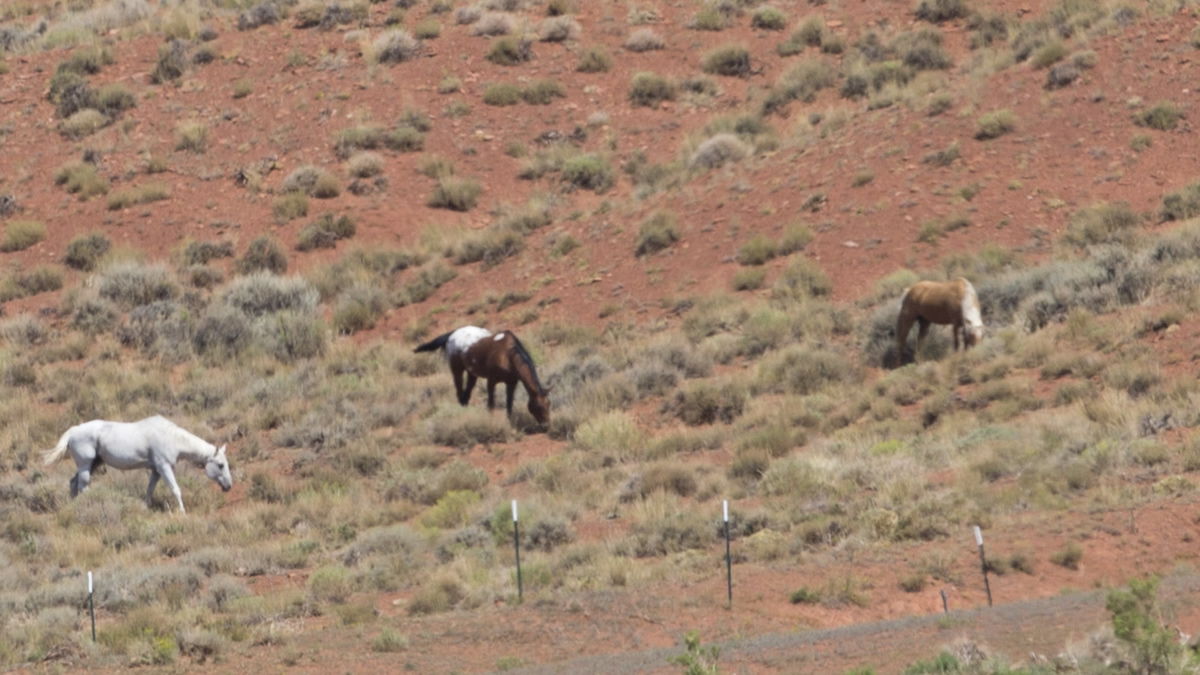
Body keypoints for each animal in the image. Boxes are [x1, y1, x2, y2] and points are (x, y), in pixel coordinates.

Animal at [42, 413, 231, 511]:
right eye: (220, 465)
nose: (229, 486)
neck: (172, 438)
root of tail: (73, 430)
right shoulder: (164, 467)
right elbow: (176, 490)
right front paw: (183, 512)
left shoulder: (156, 470)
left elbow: (149, 490)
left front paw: (146, 507)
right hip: (85, 466)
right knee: (83, 487)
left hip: (93, 464)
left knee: (73, 483)